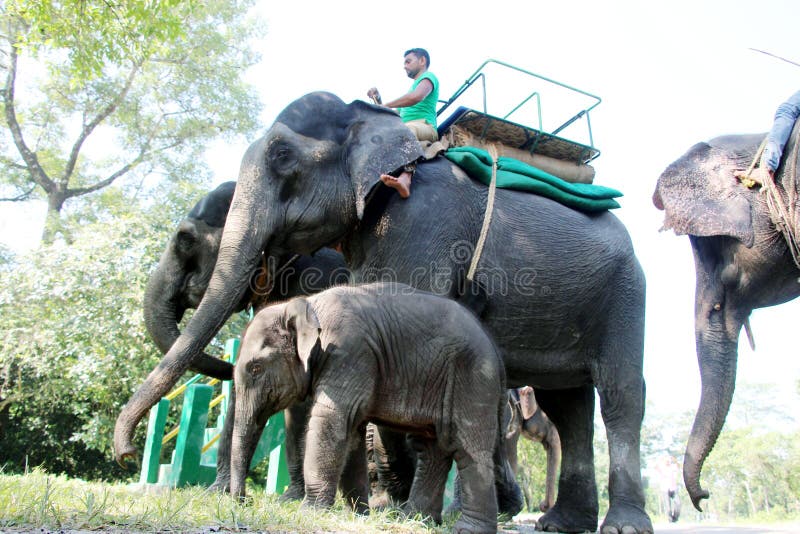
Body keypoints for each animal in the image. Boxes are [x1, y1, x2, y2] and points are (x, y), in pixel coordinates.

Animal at [231, 282, 516, 532]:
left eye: (255, 368)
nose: (244, 501)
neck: (307, 305)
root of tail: (497, 354)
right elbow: (351, 432)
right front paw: (358, 515)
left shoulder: (348, 352)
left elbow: (331, 420)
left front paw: (309, 513)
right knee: (432, 450)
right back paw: (416, 520)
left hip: (473, 379)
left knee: (468, 448)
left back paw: (467, 529)